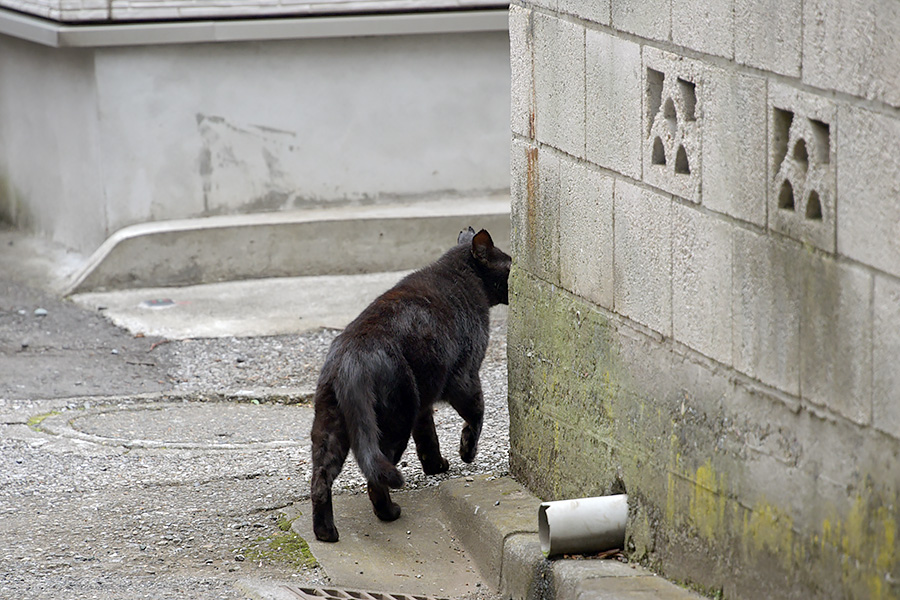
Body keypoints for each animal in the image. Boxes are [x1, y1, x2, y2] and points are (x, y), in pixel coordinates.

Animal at [310, 227, 510, 540]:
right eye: (510, 265)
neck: (464, 276)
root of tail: (351, 358)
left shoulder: (424, 402)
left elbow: (428, 437)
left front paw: (436, 466)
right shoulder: (465, 377)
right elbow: (477, 414)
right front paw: (467, 451)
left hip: (331, 426)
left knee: (321, 479)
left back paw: (326, 532)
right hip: (396, 418)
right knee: (375, 477)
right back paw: (389, 513)